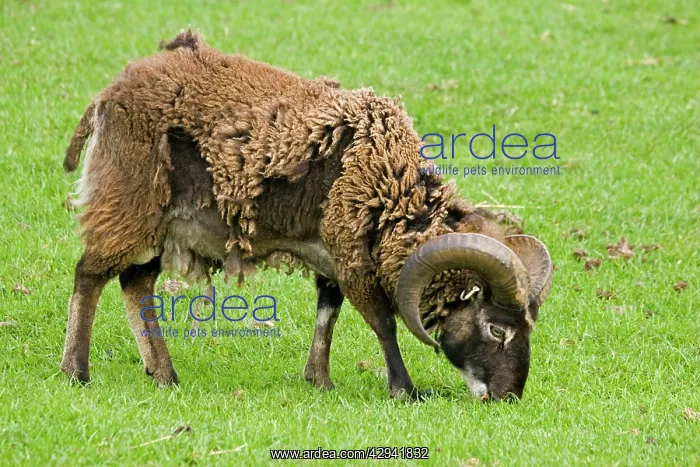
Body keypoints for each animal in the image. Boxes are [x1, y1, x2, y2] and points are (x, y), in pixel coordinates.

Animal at [61, 29, 553, 400]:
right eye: (496, 329)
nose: (509, 396)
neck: (391, 188)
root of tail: (108, 96)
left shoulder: (330, 257)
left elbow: (327, 313)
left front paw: (320, 380)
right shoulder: (351, 255)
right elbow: (383, 322)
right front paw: (405, 390)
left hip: (161, 227)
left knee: (134, 282)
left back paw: (163, 374)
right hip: (126, 205)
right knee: (90, 275)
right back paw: (76, 371)